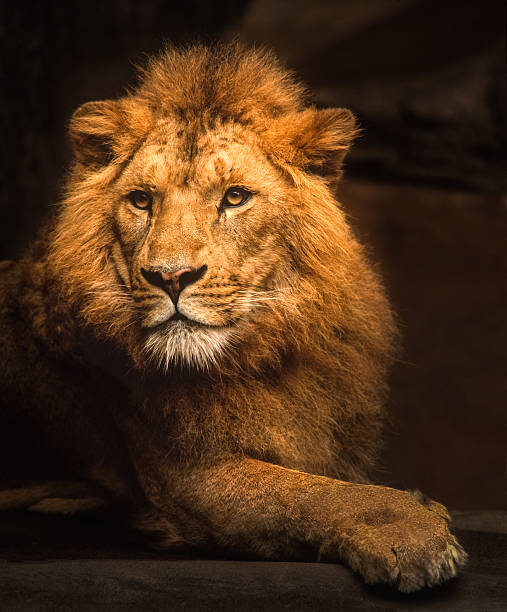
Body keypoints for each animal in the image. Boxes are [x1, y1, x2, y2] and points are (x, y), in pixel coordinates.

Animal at [0, 44, 468, 592]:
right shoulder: (190, 479)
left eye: (235, 197)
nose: (171, 276)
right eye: (141, 200)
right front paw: (414, 529)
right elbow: (316, 493)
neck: (262, 354)